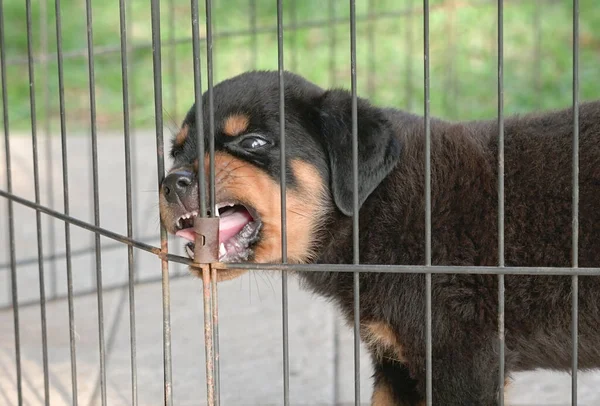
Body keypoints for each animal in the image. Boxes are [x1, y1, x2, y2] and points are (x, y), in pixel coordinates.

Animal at [158, 71, 600, 404]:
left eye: (253, 142)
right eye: (176, 152)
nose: (171, 183)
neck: (375, 204)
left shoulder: (461, 360)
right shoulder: (397, 362)